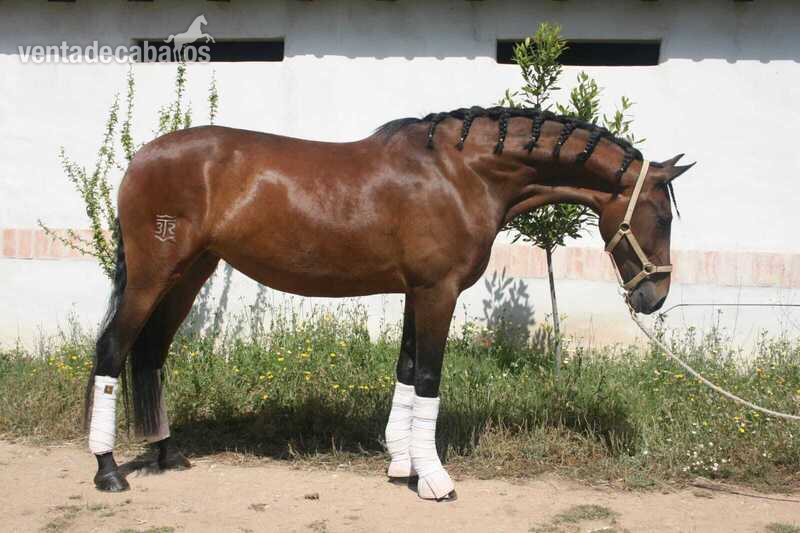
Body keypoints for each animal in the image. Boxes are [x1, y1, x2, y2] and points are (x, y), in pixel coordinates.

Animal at [85, 105, 693, 501]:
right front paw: (435, 479)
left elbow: (404, 373)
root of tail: (140, 158)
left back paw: (168, 455)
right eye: (660, 216)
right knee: (113, 351)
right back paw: (109, 471)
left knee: (151, 354)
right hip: (154, 275)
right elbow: (427, 379)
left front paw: (402, 465)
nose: (654, 296)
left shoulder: (414, 292)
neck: (460, 172)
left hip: (190, 274)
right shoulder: (437, 292)